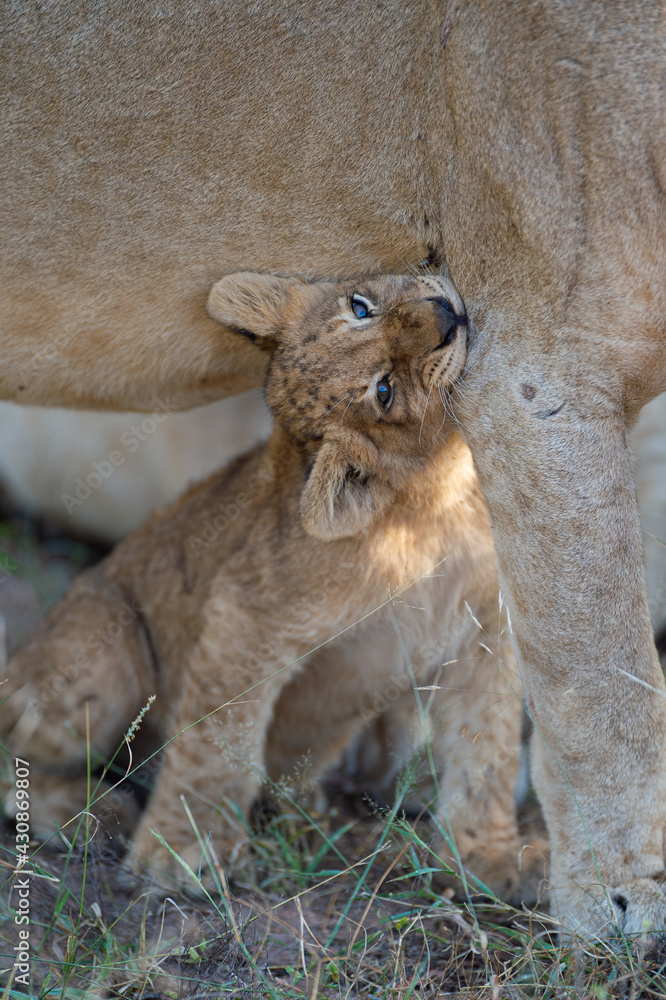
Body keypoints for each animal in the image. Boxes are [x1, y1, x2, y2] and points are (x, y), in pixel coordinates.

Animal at [0, 271, 543, 901]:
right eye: (383, 390)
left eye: (362, 307)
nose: (444, 315)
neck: (441, 494)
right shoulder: (246, 614)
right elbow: (218, 743)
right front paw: (180, 857)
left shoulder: (483, 633)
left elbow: (489, 751)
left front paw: (487, 860)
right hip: (105, 655)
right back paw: (91, 813)